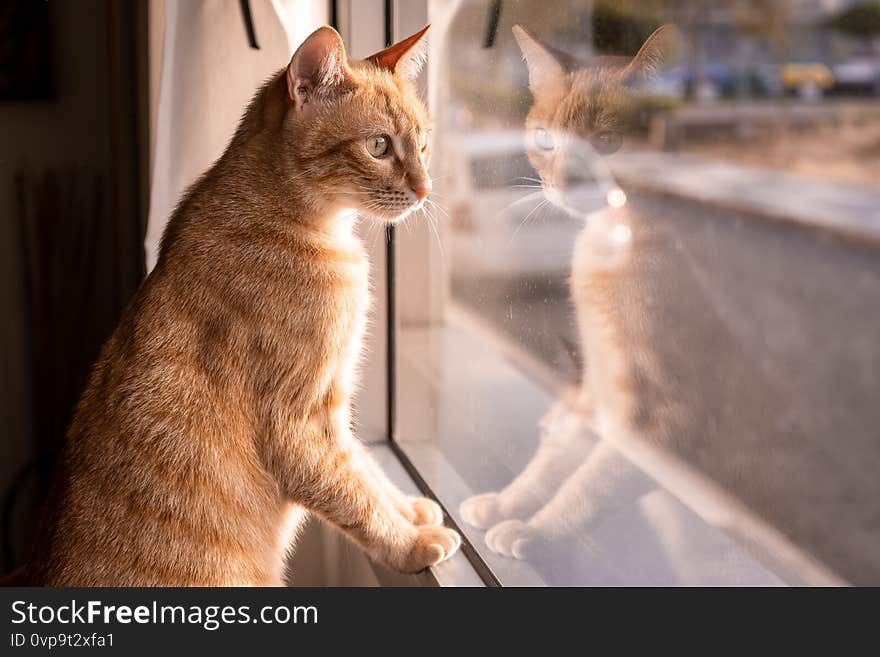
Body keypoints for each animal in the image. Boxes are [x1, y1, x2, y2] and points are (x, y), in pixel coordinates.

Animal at [22, 24, 460, 584]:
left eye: (424, 144)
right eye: (379, 145)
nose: (426, 190)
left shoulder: (334, 413)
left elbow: (365, 467)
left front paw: (409, 508)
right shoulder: (301, 423)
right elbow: (355, 496)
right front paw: (410, 541)